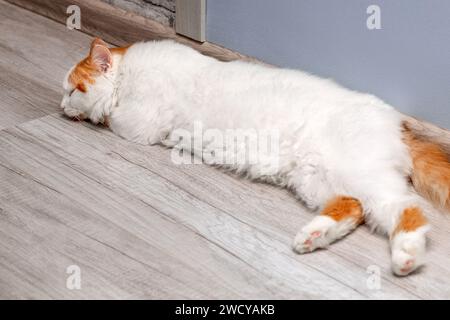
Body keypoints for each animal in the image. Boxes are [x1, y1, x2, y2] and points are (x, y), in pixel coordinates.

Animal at [60, 37, 450, 276]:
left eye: (72, 90)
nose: (61, 106)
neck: (129, 72)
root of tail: (398, 123)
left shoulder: (140, 122)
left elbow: (112, 116)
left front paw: (96, 114)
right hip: (316, 177)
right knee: (353, 207)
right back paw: (313, 236)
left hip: (357, 172)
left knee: (405, 206)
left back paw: (407, 255)